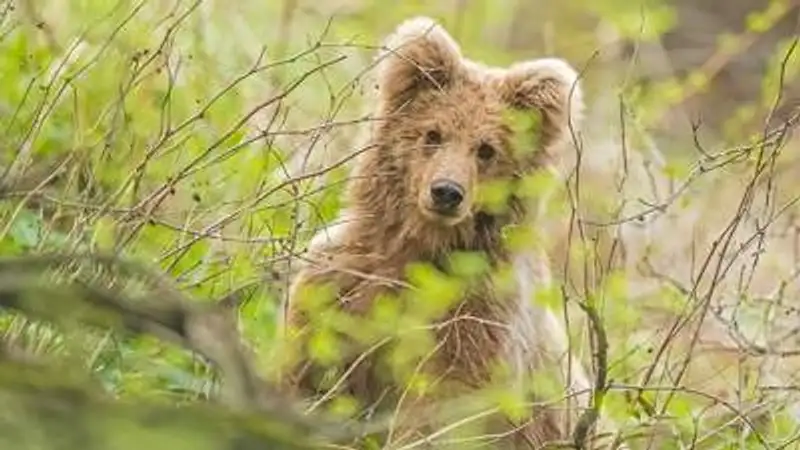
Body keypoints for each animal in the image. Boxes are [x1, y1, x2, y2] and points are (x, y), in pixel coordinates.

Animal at [278, 15, 596, 448]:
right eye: (433, 133)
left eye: (486, 149)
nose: (446, 192)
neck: (422, 245)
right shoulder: (343, 284)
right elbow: (313, 373)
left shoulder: (471, 326)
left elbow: (440, 411)